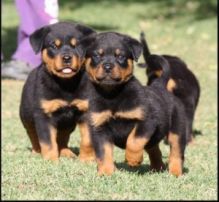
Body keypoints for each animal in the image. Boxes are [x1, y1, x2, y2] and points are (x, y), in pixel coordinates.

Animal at [19, 22, 96, 161]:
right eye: (54, 45)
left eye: (76, 45)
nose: (67, 58)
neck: (66, 84)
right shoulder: (44, 115)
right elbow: (48, 141)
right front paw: (51, 160)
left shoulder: (86, 111)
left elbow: (87, 139)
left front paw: (87, 159)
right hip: (26, 116)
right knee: (33, 134)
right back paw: (36, 152)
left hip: (67, 124)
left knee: (62, 137)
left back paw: (66, 152)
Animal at [82, 32, 188, 177]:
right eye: (97, 56)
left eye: (120, 56)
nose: (108, 66)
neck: (112, 94)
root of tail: (159, 86)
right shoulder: (99, 127)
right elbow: (103, 153)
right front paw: (106, 173)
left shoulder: (146, 121)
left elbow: (134, 140)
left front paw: (133, 160)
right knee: (155, 150)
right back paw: (157, 168)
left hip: (177, 130)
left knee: (176, 152)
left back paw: (175, 172)